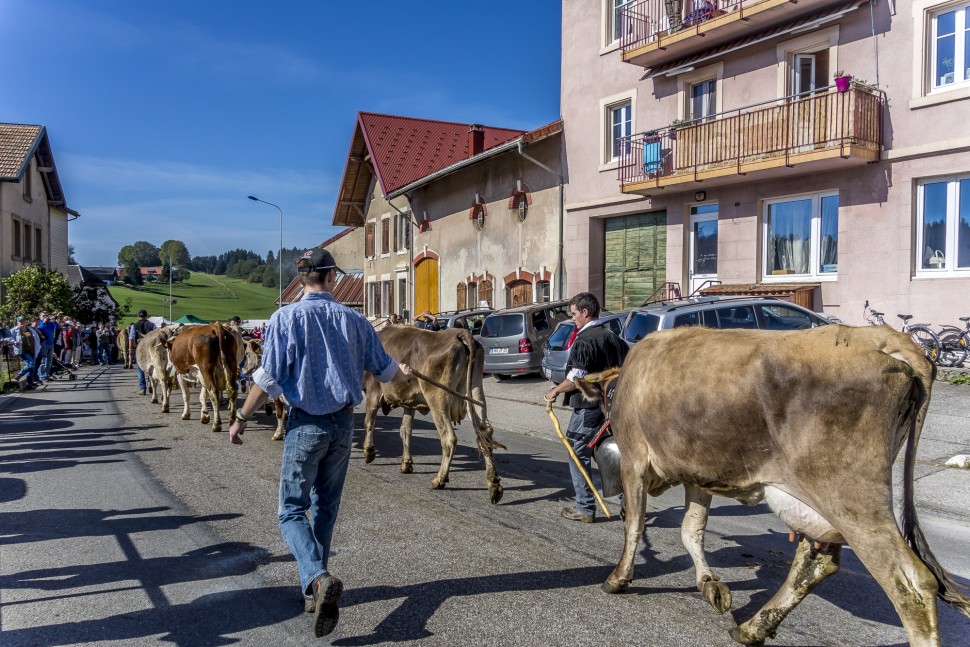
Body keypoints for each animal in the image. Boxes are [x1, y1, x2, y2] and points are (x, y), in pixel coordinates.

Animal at [360, 326, 502, 504]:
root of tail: (461, 333)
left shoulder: (373, 392)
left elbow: (369, 422)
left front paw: (368, 452)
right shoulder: (409, 402)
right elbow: (405, 430)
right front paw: (406, 464)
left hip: (437, 397)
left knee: (449, 438)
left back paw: (439, 480)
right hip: (475, 394)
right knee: (485, 435)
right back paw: (494, 485)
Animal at [576, 326, 968, 644]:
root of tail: (885, 338)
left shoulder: (635, 460)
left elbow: (634, 525)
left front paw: (619, 578)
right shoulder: (698, 472)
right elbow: (692, 529)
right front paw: (710, 585)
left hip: (851, 495)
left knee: (910, 585)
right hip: (821, 499)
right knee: (814, 563)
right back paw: (753, 628)